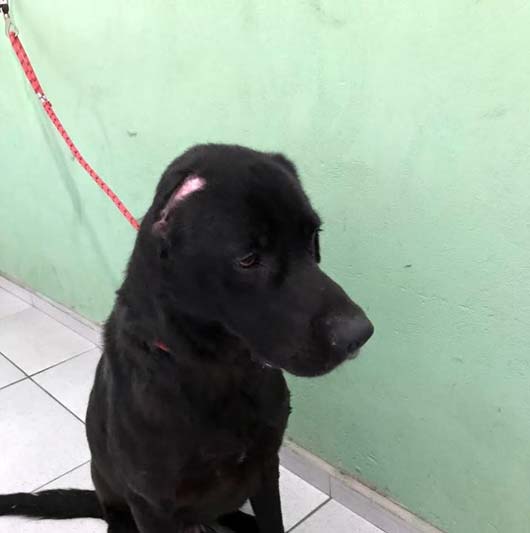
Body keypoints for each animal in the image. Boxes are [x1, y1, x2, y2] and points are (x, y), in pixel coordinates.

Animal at [0, 144, 374, 532]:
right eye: (248, 258)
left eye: (313, 236)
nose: (359, 334)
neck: (220, 367)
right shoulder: (151, 505)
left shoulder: (266, 468)